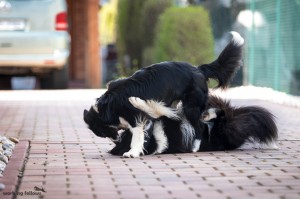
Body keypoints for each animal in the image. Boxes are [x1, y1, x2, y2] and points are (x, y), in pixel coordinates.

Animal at [84, 31, 244, 157]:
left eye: (102, 132)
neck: (108, 107)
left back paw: (194, 147)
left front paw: (132, 152)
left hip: (191, 107)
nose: (116, 140)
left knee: (198, 127)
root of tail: (199, 69)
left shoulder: (135, 119)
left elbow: (137, 136)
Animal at [109, 96, 278, 155]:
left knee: (219, 111)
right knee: (222, 113)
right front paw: (137, 101)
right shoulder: (168, 117)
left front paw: (135, 101)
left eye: (124, 135)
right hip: (223, 128)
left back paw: (207, 113)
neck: (152, 139)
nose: (121, 130)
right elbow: (156, 108)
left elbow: (156, 108)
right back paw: (209, 114)